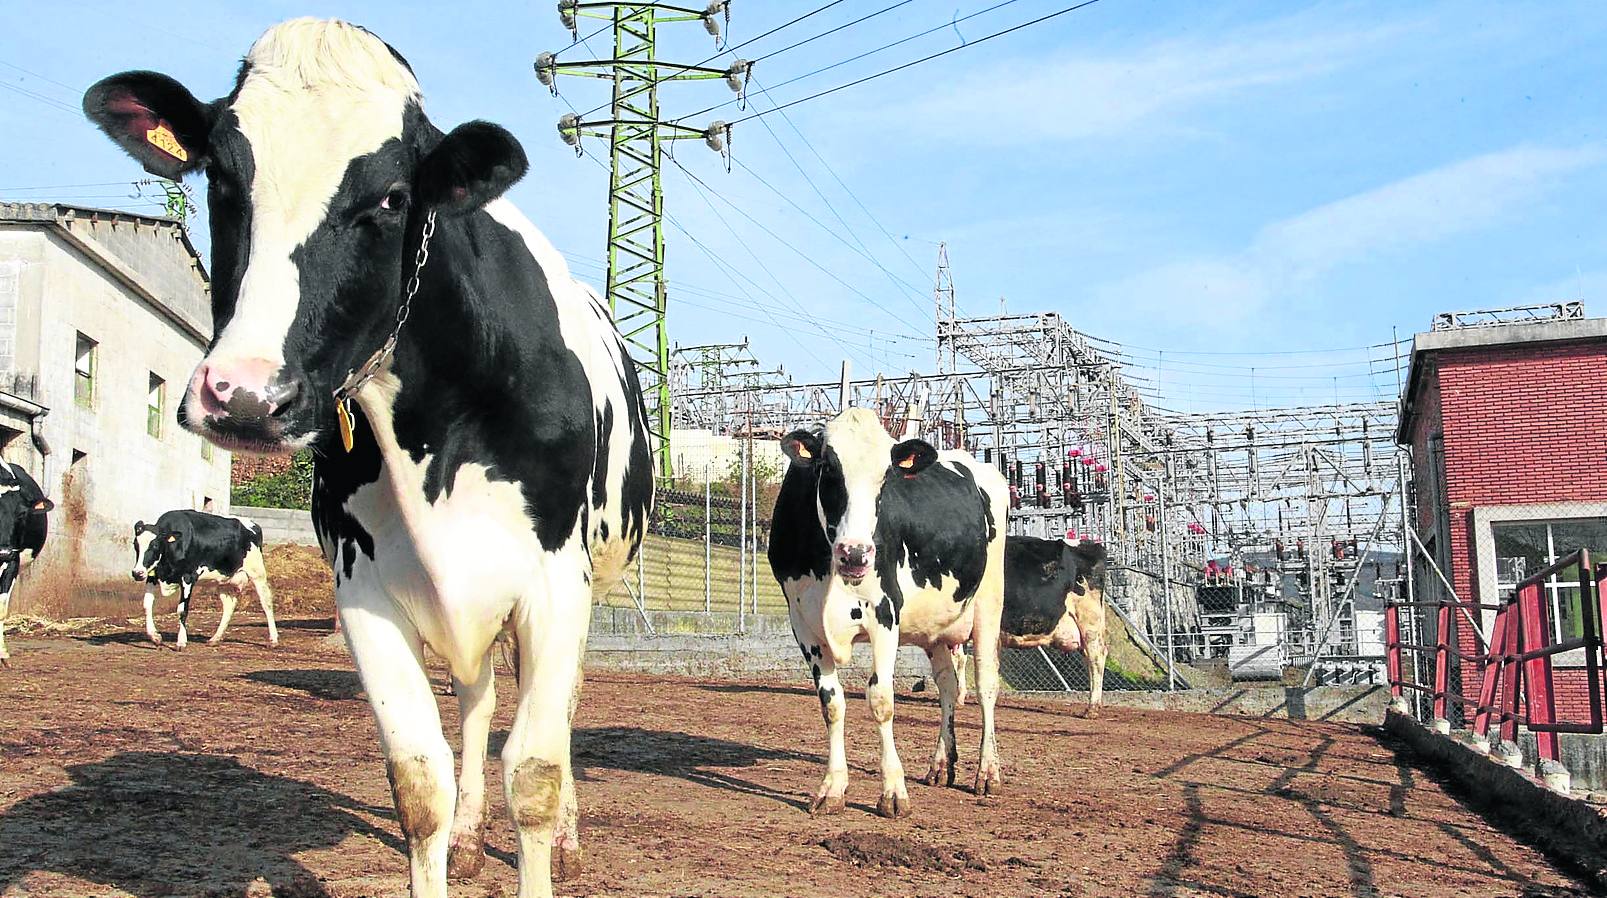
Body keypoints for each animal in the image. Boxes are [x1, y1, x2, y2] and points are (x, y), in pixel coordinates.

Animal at [133, 510, 278, 649]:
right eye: (135, 545)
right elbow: (147, 604)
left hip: (257, 572)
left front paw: (181, 642)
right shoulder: (152, 575)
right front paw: (155, 637)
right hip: (224, 581)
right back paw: (215, 639)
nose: (137, 573)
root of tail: (253, 524)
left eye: (155, 545)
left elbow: (182, 610)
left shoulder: (188, 577)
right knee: (229, 605)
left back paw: (273, 640)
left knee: (266, 602)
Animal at [764, 411, 1002, 819]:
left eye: (885, 477)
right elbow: (832, 703)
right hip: (934, 629)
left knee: (986, 685)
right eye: (828, 468)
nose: (856, 553)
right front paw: (832, 788)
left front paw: (893, 791)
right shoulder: (803, 623)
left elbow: (881, 700)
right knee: (948, 686)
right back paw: (941, 764)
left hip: (989, 605)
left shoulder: (884, 615)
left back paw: (987, 773)